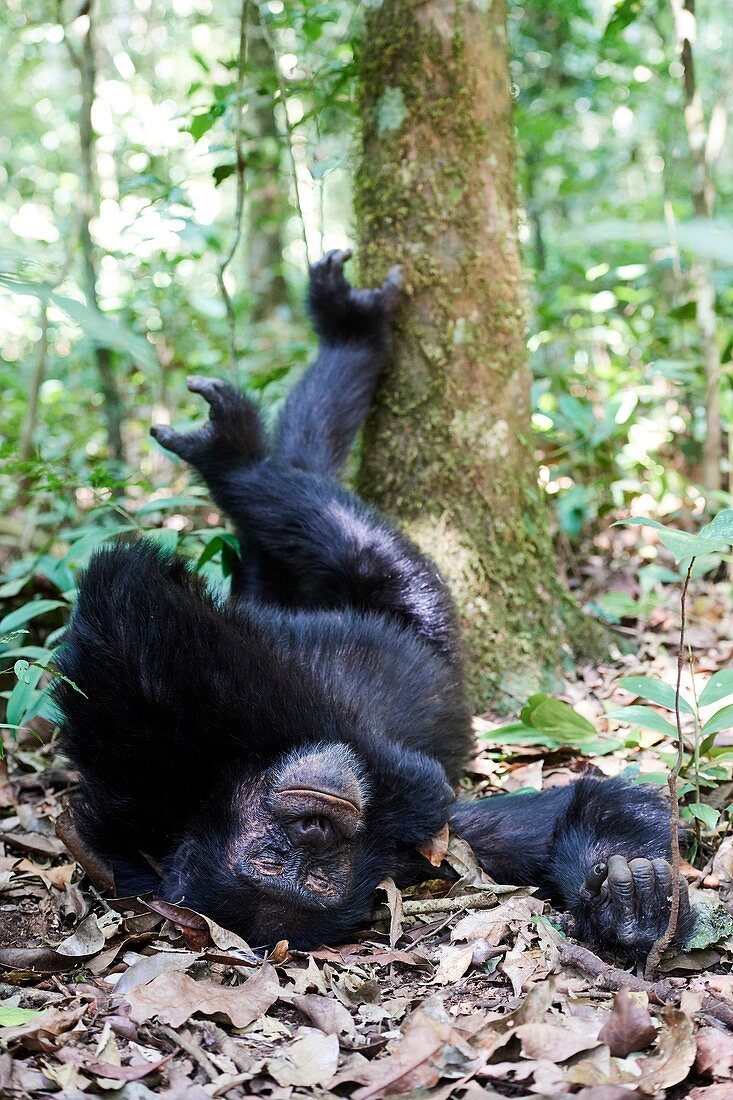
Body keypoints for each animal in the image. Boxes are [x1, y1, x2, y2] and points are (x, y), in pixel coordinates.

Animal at [54, 251, 695, 963]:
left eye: (314, 864)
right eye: (280, 862)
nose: (318, 822)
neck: (212, 789)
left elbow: (579, 809)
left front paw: (635, 905)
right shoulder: (429, 845)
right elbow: (129, 611)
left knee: (294, 489)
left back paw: (334, 341)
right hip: (417, 604)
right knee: (321, 516)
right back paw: (244, 448)